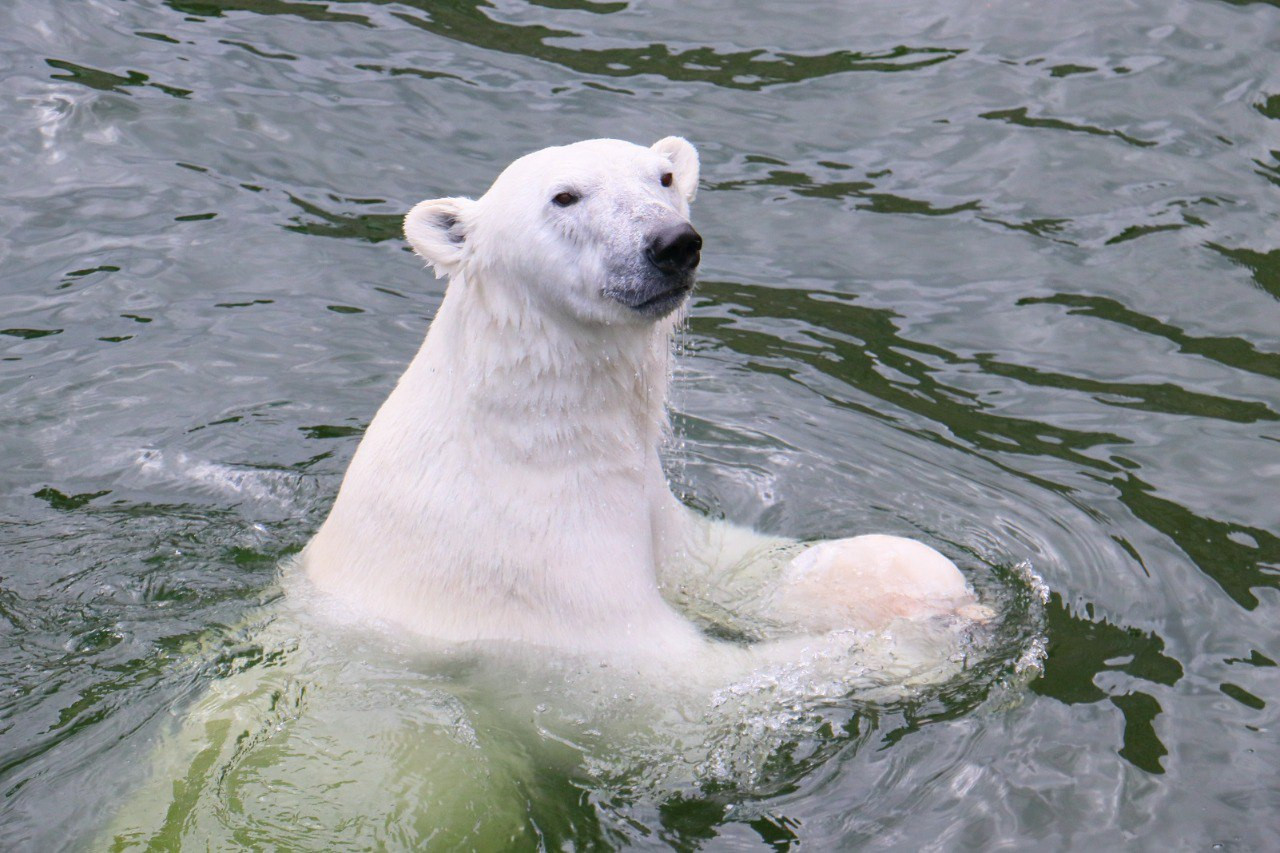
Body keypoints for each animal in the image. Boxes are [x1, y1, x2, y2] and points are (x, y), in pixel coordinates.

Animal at [302, 136, 988, 660]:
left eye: (663, 176)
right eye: (565, 196)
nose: (673, 243)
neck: (524, 443)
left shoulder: (646, 505)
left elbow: (716, 563)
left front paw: (910, 583)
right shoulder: (523, 570)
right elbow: (683, 682)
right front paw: (912, 641)